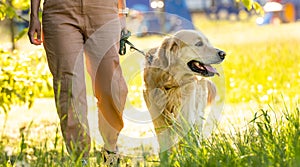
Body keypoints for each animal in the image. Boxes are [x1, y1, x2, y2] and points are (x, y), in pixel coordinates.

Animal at [143, 29, 225, 158]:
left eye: (208, 42)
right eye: (199, 44)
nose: (223, 54)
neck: (170, 84)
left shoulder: (186, 116)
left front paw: (190, 158)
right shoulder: (159, 121)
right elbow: (165, 148)